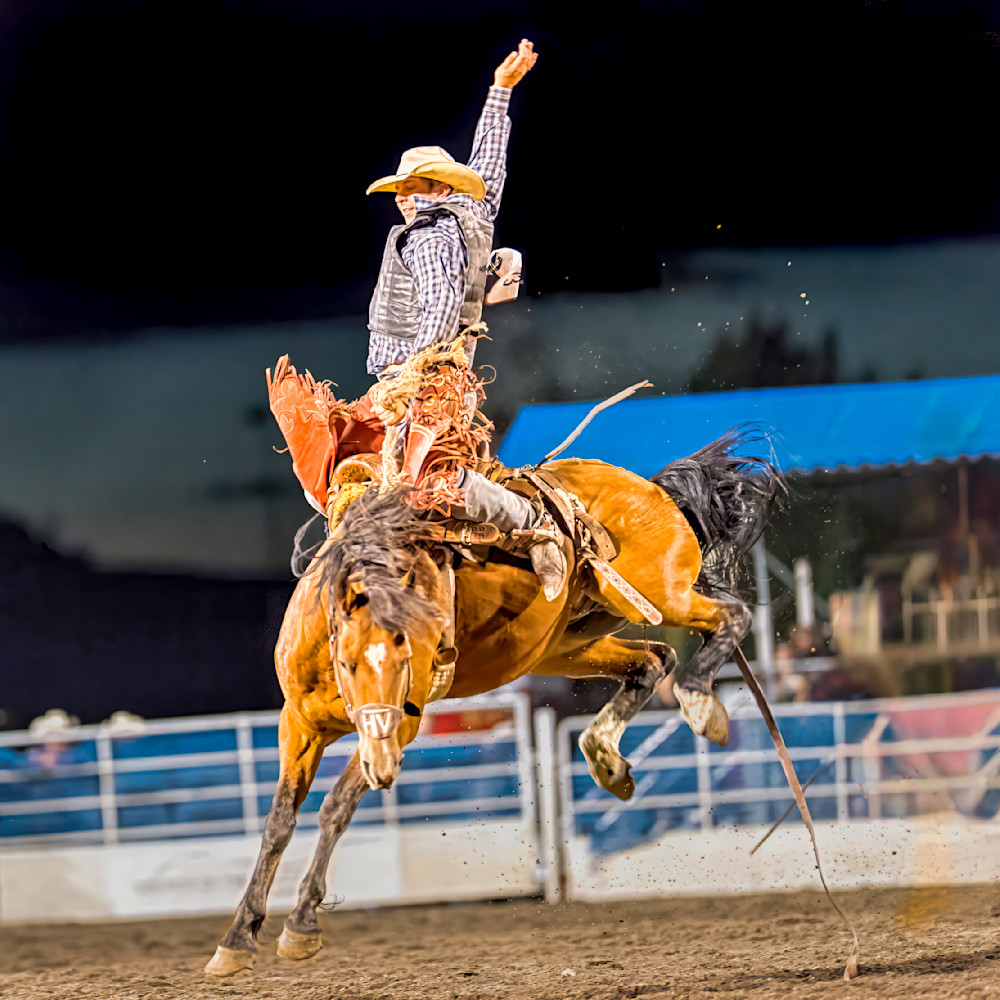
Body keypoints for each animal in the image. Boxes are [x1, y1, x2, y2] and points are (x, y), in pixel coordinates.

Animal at [205, 430, 784, 976]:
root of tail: (652, 488)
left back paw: (700, 703)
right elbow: (279, 822)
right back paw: (607, 759)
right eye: (347, 663)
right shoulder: (299, 724)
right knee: (653, 660)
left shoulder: (401, 725)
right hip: (568, 642)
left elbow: (334, 809)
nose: (385, 768)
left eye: (408, 655)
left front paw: (301, 925)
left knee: (729, 618)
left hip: (665, 595)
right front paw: (236, 939)